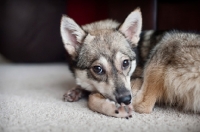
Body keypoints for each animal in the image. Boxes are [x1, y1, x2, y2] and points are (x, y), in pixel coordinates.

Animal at [59, 8, 200, 117]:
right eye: (98, 69)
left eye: (125, 63)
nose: (125, 99)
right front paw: (75, 91)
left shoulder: (137, 79)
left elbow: (92, 98)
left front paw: (113, 107)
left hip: (166, 44)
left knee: (142, 105)